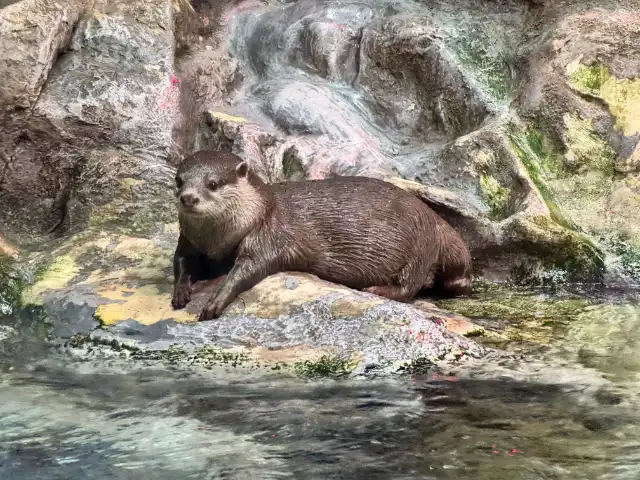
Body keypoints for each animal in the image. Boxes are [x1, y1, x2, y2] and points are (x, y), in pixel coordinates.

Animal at [171, 150, 472, 321]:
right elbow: (182, 263)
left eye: (213, 183)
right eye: (179, 180)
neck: (218, 241)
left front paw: (215, 302)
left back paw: (377, 290)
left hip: (420, 244)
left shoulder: (268, 236)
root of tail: (439, 222)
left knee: (411, 285)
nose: (188, 197)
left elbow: (247, 270)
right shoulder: (188, 240)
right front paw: (180, 292)